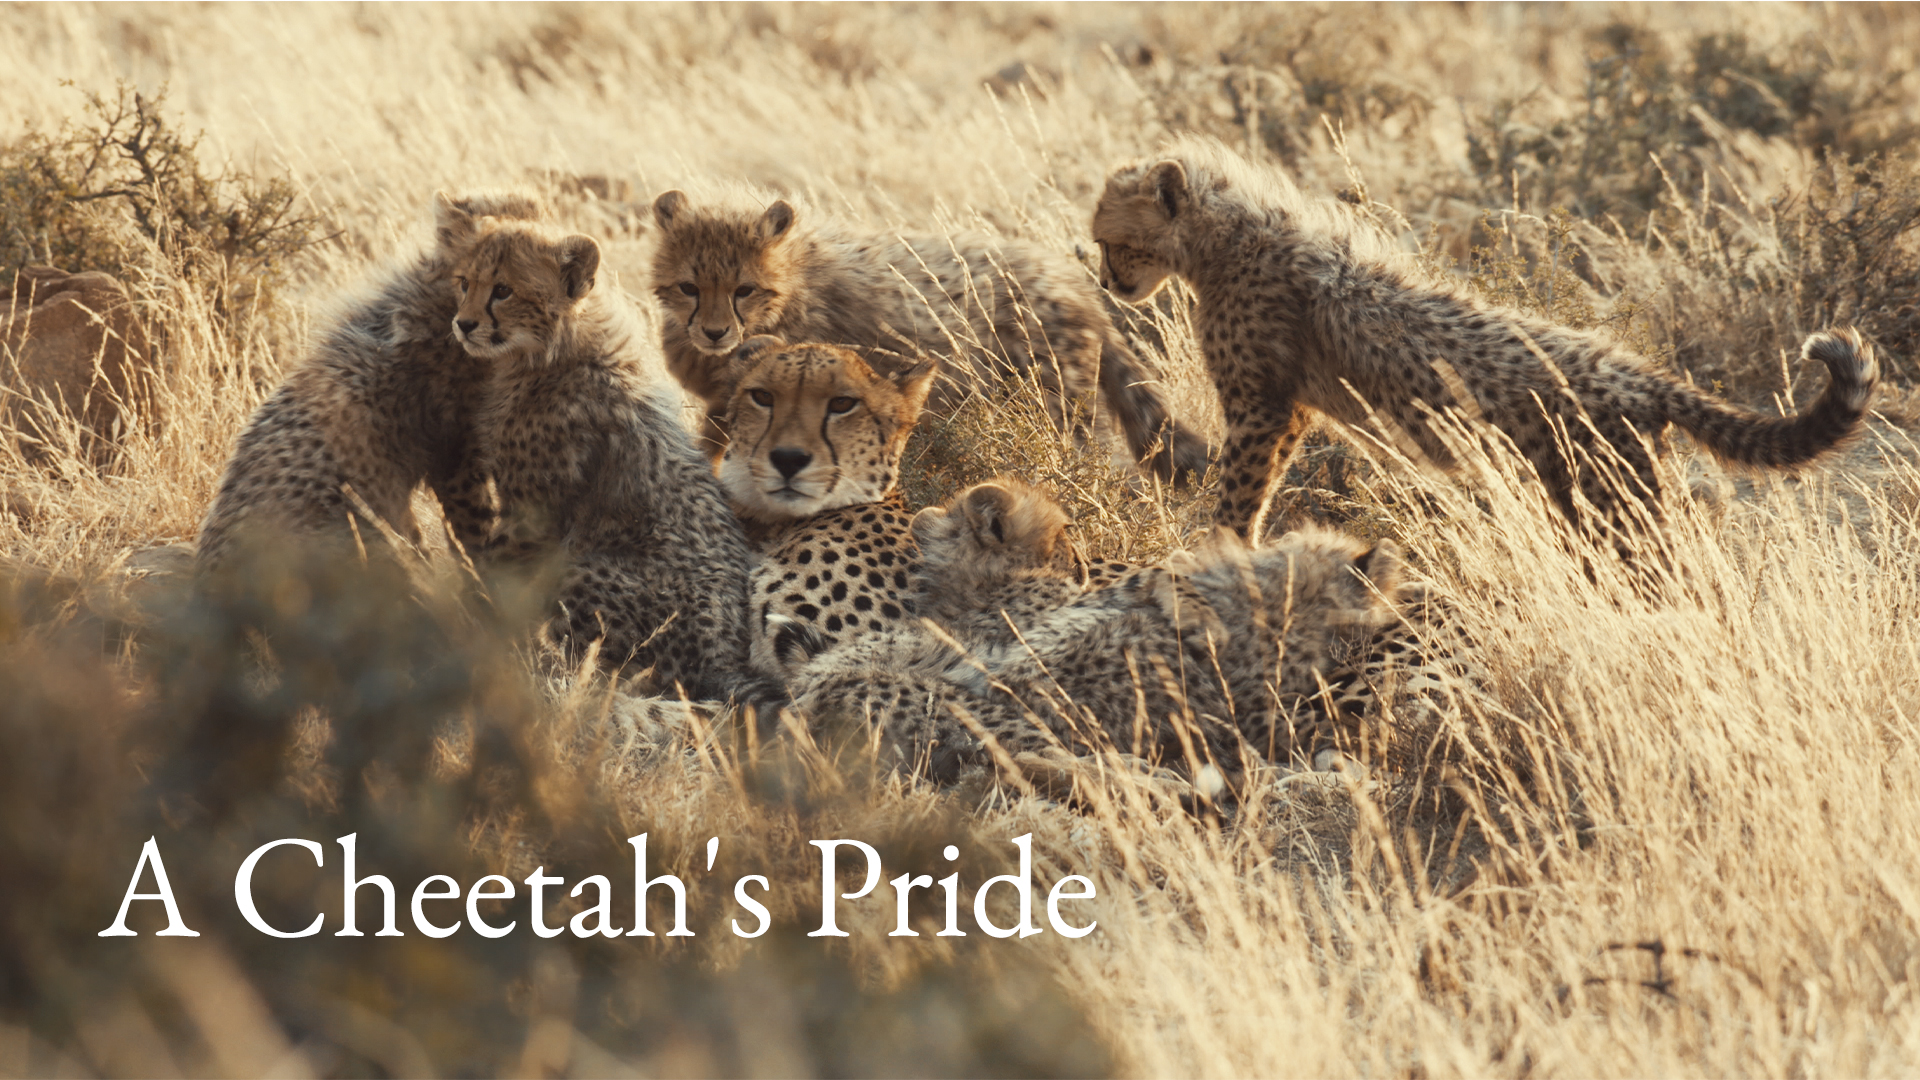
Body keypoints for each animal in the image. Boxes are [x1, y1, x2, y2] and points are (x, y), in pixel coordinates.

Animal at [443, 203, 771, 706]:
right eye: (464, 282)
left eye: (502, 290)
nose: (463, 324)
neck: (551, 352)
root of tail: (724, 656)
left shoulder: (531, 513)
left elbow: (495, 574)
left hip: (579, 566)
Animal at [649, 185, 1211, 481]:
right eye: (689, 287)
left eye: (744, 289)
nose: (716, 332)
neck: (791, 285)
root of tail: (1074, 282)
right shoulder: (725, 403)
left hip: (1059, 406)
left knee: (1100, 462)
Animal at [1091, 135, 1879, 551]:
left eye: (1110, 240)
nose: (1105, 282)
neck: (1223, 236)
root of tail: (1636, 373)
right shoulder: (1292, 411)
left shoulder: (1261, 406)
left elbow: (1238, 491)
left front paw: (1214, 551)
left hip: (1611, 505)